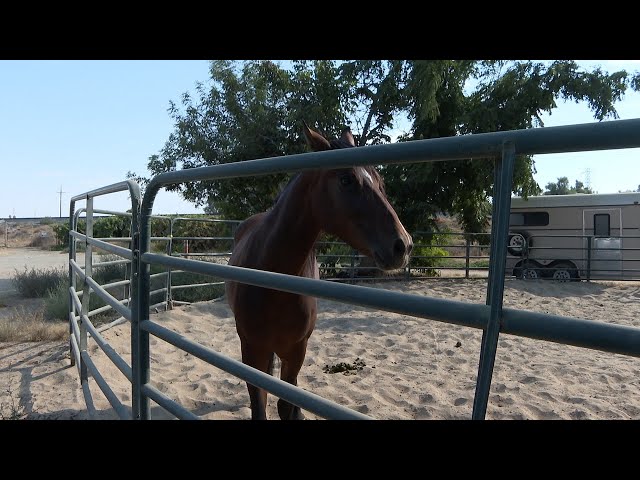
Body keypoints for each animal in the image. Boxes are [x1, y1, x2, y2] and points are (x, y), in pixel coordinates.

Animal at [228, 124, 412, 420]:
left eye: (379, 180)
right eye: (346, 180)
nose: (403, 245)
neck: (273, 282)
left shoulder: (296, 350)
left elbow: (286, 404)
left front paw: (298, 411)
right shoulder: (252, 348)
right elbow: (260, 404)